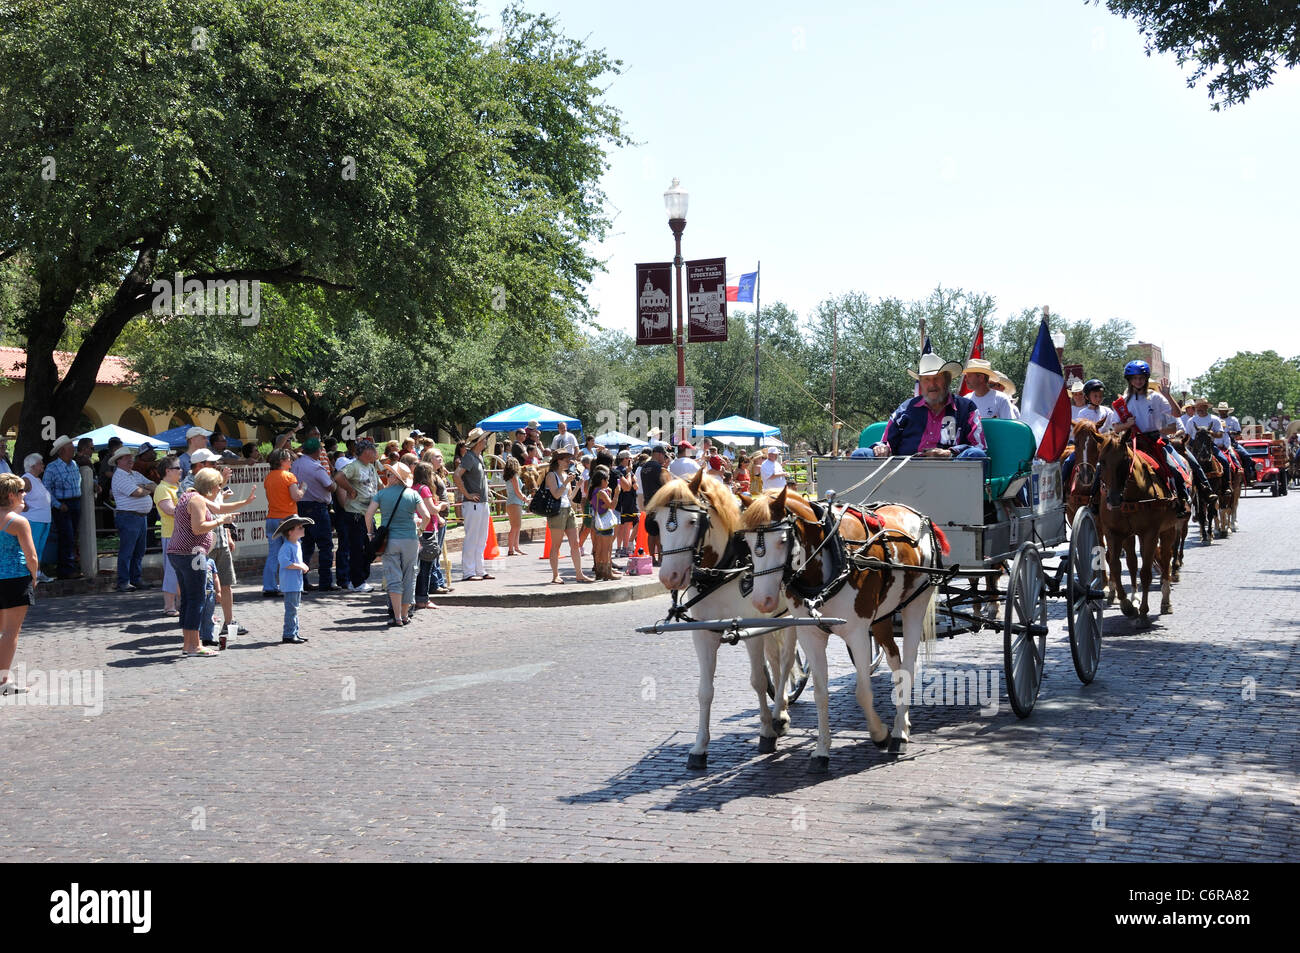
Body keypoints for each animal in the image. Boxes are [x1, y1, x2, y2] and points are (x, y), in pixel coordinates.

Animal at [642, 473, 795, 769]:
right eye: (657, 521)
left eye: (692, 521)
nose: (669, 577)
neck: (725, 568)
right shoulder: (703, 632)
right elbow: (705, 691)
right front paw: (700, 747)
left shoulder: (750, 630)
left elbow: (758, 680)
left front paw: (766, 733)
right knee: (775, 658)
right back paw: (780, 708)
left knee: (785, 662)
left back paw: (779, 716)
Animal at [743, 486, 946, 769]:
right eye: (747, 542)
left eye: (782, 540)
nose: (763, 601)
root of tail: (916, 514)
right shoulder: (811, 635)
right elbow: (820, 693)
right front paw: (821, 751)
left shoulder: (857, 633)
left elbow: (862, 692)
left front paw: (880, 734)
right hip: (882, 617)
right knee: (896, 662)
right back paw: (902, 724)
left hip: (915, 604)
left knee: (908, 663)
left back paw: (898, 735)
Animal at [1092, 431, 1185, 624]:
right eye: (1101, 461)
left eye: (1125, 460)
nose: (1113, 499)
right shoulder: (1113, 533)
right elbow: (1115, 566)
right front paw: (1127, 605)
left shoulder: (1150, 534)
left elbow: (1146, 573)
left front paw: (1143, 612)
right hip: (1129, 535)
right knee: (1132, 562)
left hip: (1167, 530)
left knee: (1166, 559)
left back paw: (1166, 601)